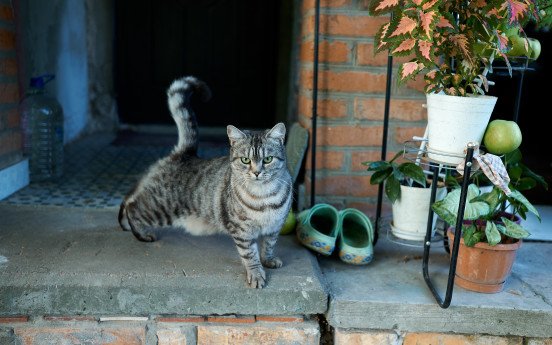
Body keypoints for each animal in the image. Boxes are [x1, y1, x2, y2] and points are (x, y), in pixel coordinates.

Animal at [117, 76, 294, 288]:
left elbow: (269, 245)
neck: (264, 196)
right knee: (133, 206)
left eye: (268, 159)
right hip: (160, 209)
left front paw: (268, 260)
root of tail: (185, 153)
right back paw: (141, 233)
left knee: (130, 196)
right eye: (245, 160)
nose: (257, 172)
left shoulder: (274, 226)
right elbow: (250, 255)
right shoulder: (242, 231)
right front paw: (256, 274)